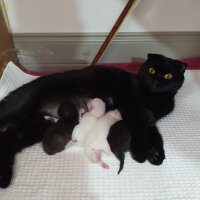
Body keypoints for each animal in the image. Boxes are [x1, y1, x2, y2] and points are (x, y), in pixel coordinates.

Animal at [0, 53, 187, 188]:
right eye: (152, 71)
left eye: (168, 75)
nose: (156, 81)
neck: (153, 96)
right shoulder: (133, 110)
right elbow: (139, 130)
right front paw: (141, 153)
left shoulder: (150, 119)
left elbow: (155, 134)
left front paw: (157, 154)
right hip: (22, 112)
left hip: (34, 128)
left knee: (8, 142)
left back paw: (4, 179)